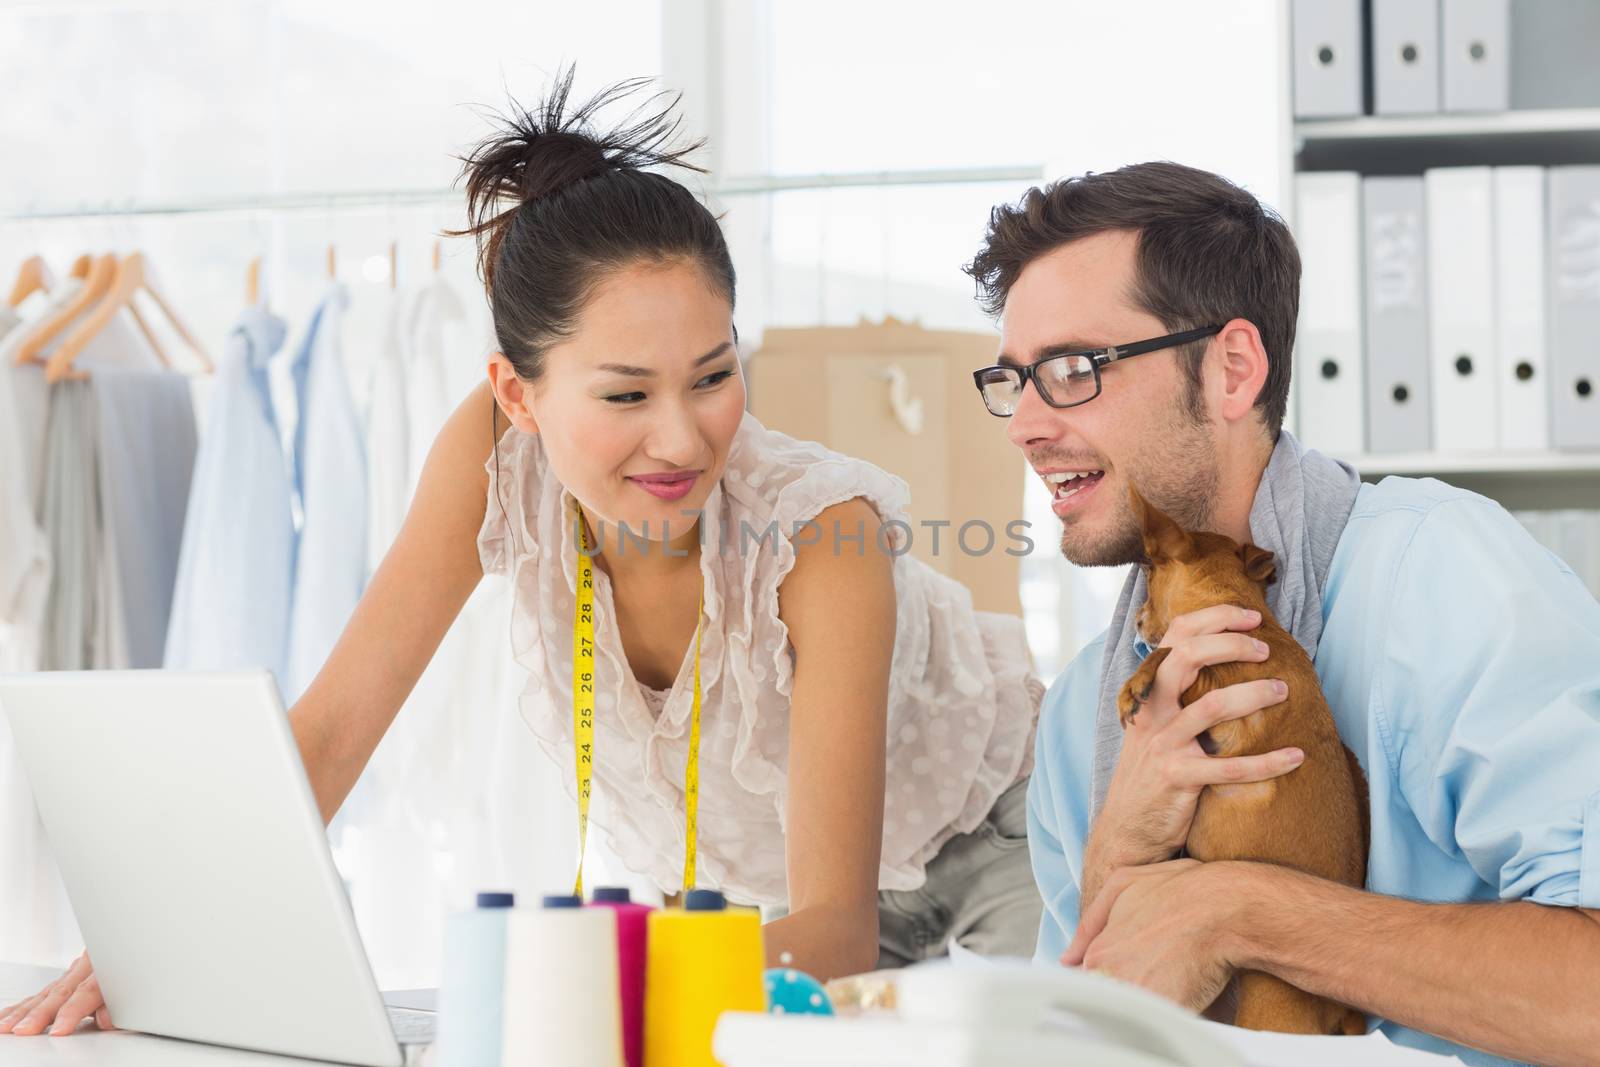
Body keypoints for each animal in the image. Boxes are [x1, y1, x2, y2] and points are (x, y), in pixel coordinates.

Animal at [1120, 486, 1369, 1036]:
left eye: (1147, 567)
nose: (1138, 620)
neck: (1235, 606)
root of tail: (1340, 1009)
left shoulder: (1221, 689)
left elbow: (1173, 654)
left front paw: (1136, 683)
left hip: (1269, 1011)